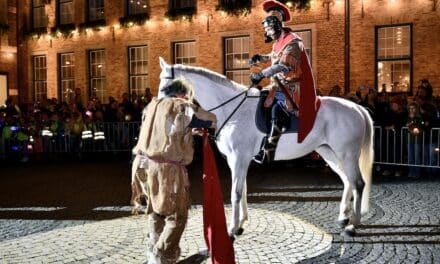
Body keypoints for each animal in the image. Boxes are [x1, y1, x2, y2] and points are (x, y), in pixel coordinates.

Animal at [156, 57, 372, 235]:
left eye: (166, 85)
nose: (158, 108)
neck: (232, 109)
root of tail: (357, 107)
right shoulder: (237, 161)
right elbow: (242, 189)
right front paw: (242, 222)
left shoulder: (239, 158)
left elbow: (235, 192)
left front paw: (232, 228)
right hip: (329, 152)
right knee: (347, 180)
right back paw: (343, 218)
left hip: (347, 155)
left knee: (358, 183)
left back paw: (353, 225)